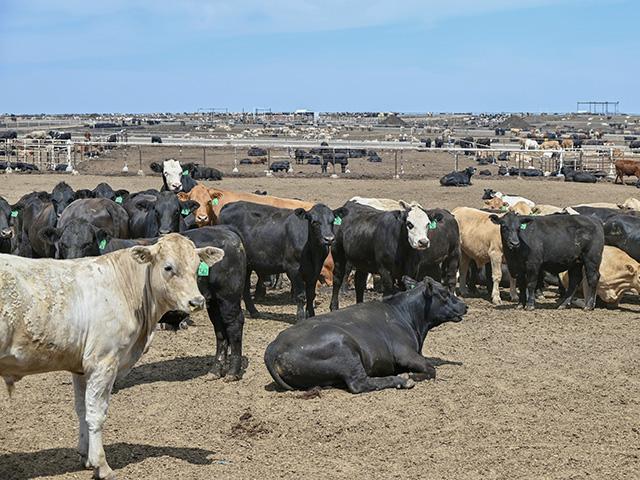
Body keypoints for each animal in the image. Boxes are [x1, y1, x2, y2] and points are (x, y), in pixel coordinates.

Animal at [0, 234, 224, 480]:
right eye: (168, 267)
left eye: (196, 267)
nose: (197, 302)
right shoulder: (103, 361)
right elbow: (96, 413)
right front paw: (102, 465)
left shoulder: (81, 367)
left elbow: (82, 409)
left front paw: (86, 456)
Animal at [264, 276, 466, 393]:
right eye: (445, 293)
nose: (465, 306)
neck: (405, 315)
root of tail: (274, 346)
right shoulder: (405, 352)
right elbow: (431, 369)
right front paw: (410, 375)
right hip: (345, 348)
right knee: (359, 384)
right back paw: (401, 380)